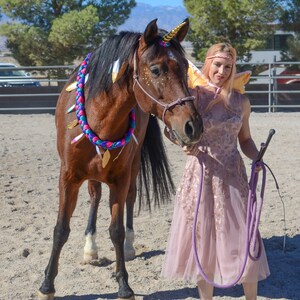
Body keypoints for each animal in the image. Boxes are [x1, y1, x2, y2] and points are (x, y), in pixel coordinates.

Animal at [37, 18, 202, 300]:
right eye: (156, 69)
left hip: (132, 168)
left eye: (184, 68)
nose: (193, 126)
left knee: (131, 198)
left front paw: (124, 284)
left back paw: (129, 247)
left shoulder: (120, 178)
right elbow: (60, 229)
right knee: (94, 196)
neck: (99, 117)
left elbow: (116, 230)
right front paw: (47, 285)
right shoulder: (68, 176)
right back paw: (90, 248)